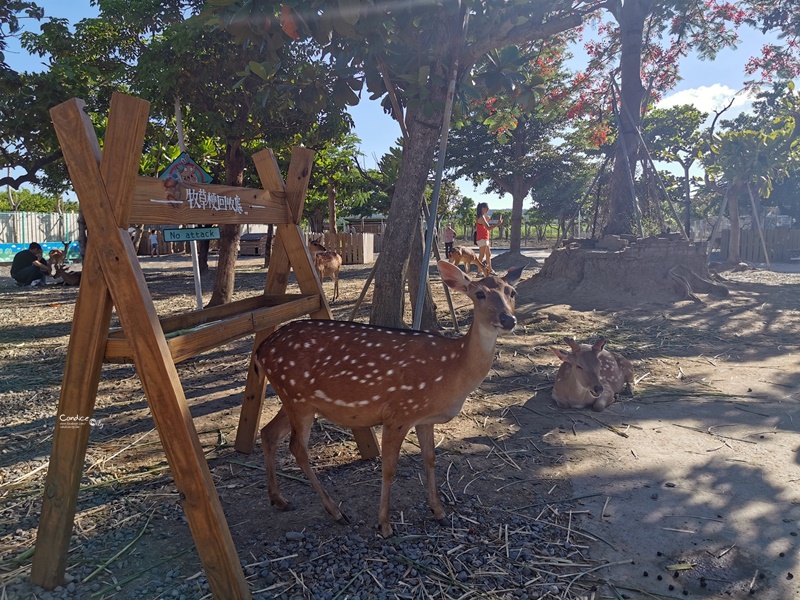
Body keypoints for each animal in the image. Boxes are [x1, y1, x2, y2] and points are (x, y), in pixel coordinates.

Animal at [256, 260, 524, 536]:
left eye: (512, 292)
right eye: (479, 293)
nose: (508, 319)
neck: (452, 369)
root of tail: (261, 350)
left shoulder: (424, 417)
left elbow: (430, 459)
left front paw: (439, 512)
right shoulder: (399, 412)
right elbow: (389, 467)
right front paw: (385, 524)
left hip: (295, 399)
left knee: (268, 433)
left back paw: (279, 499)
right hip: (296, 396)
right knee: (297, 448)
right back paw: (336, 511)